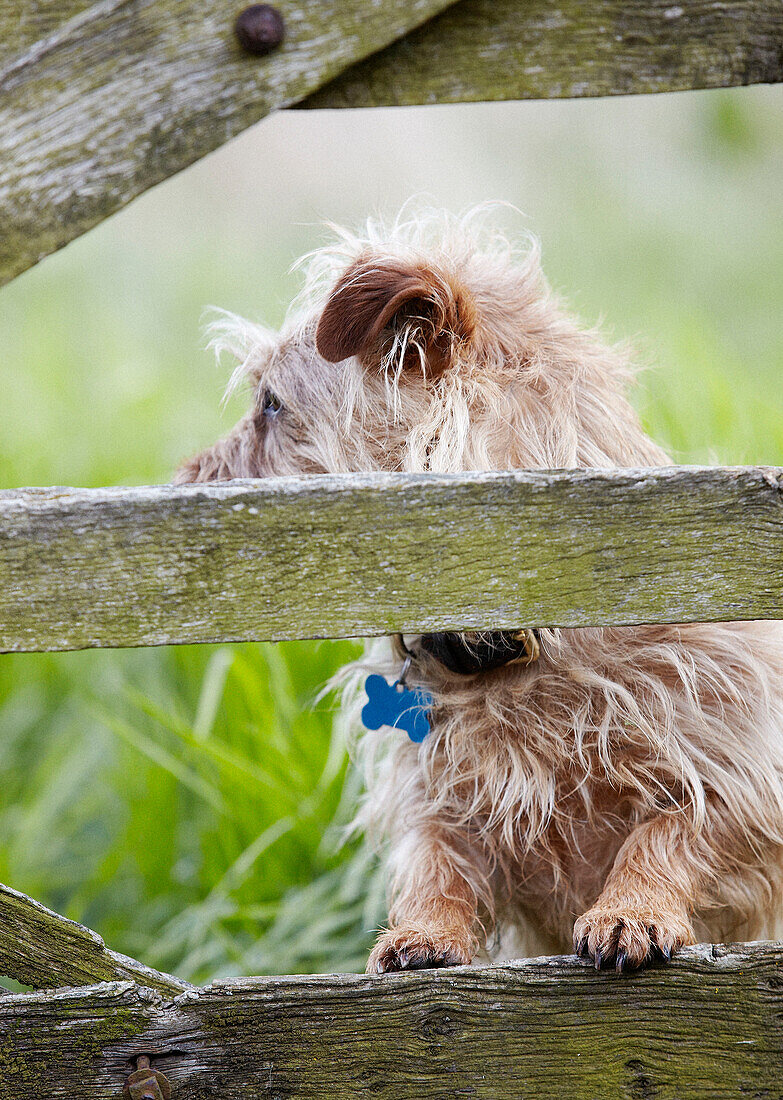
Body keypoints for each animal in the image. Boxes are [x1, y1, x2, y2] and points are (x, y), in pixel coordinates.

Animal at [177, 210, 782, 976]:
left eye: (271, 403)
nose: (176, 482)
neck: (523, 654)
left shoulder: (748, 785)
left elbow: (672, 828)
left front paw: (629, 909)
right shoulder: (434, 798)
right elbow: (437, 860)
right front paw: (422, 931)